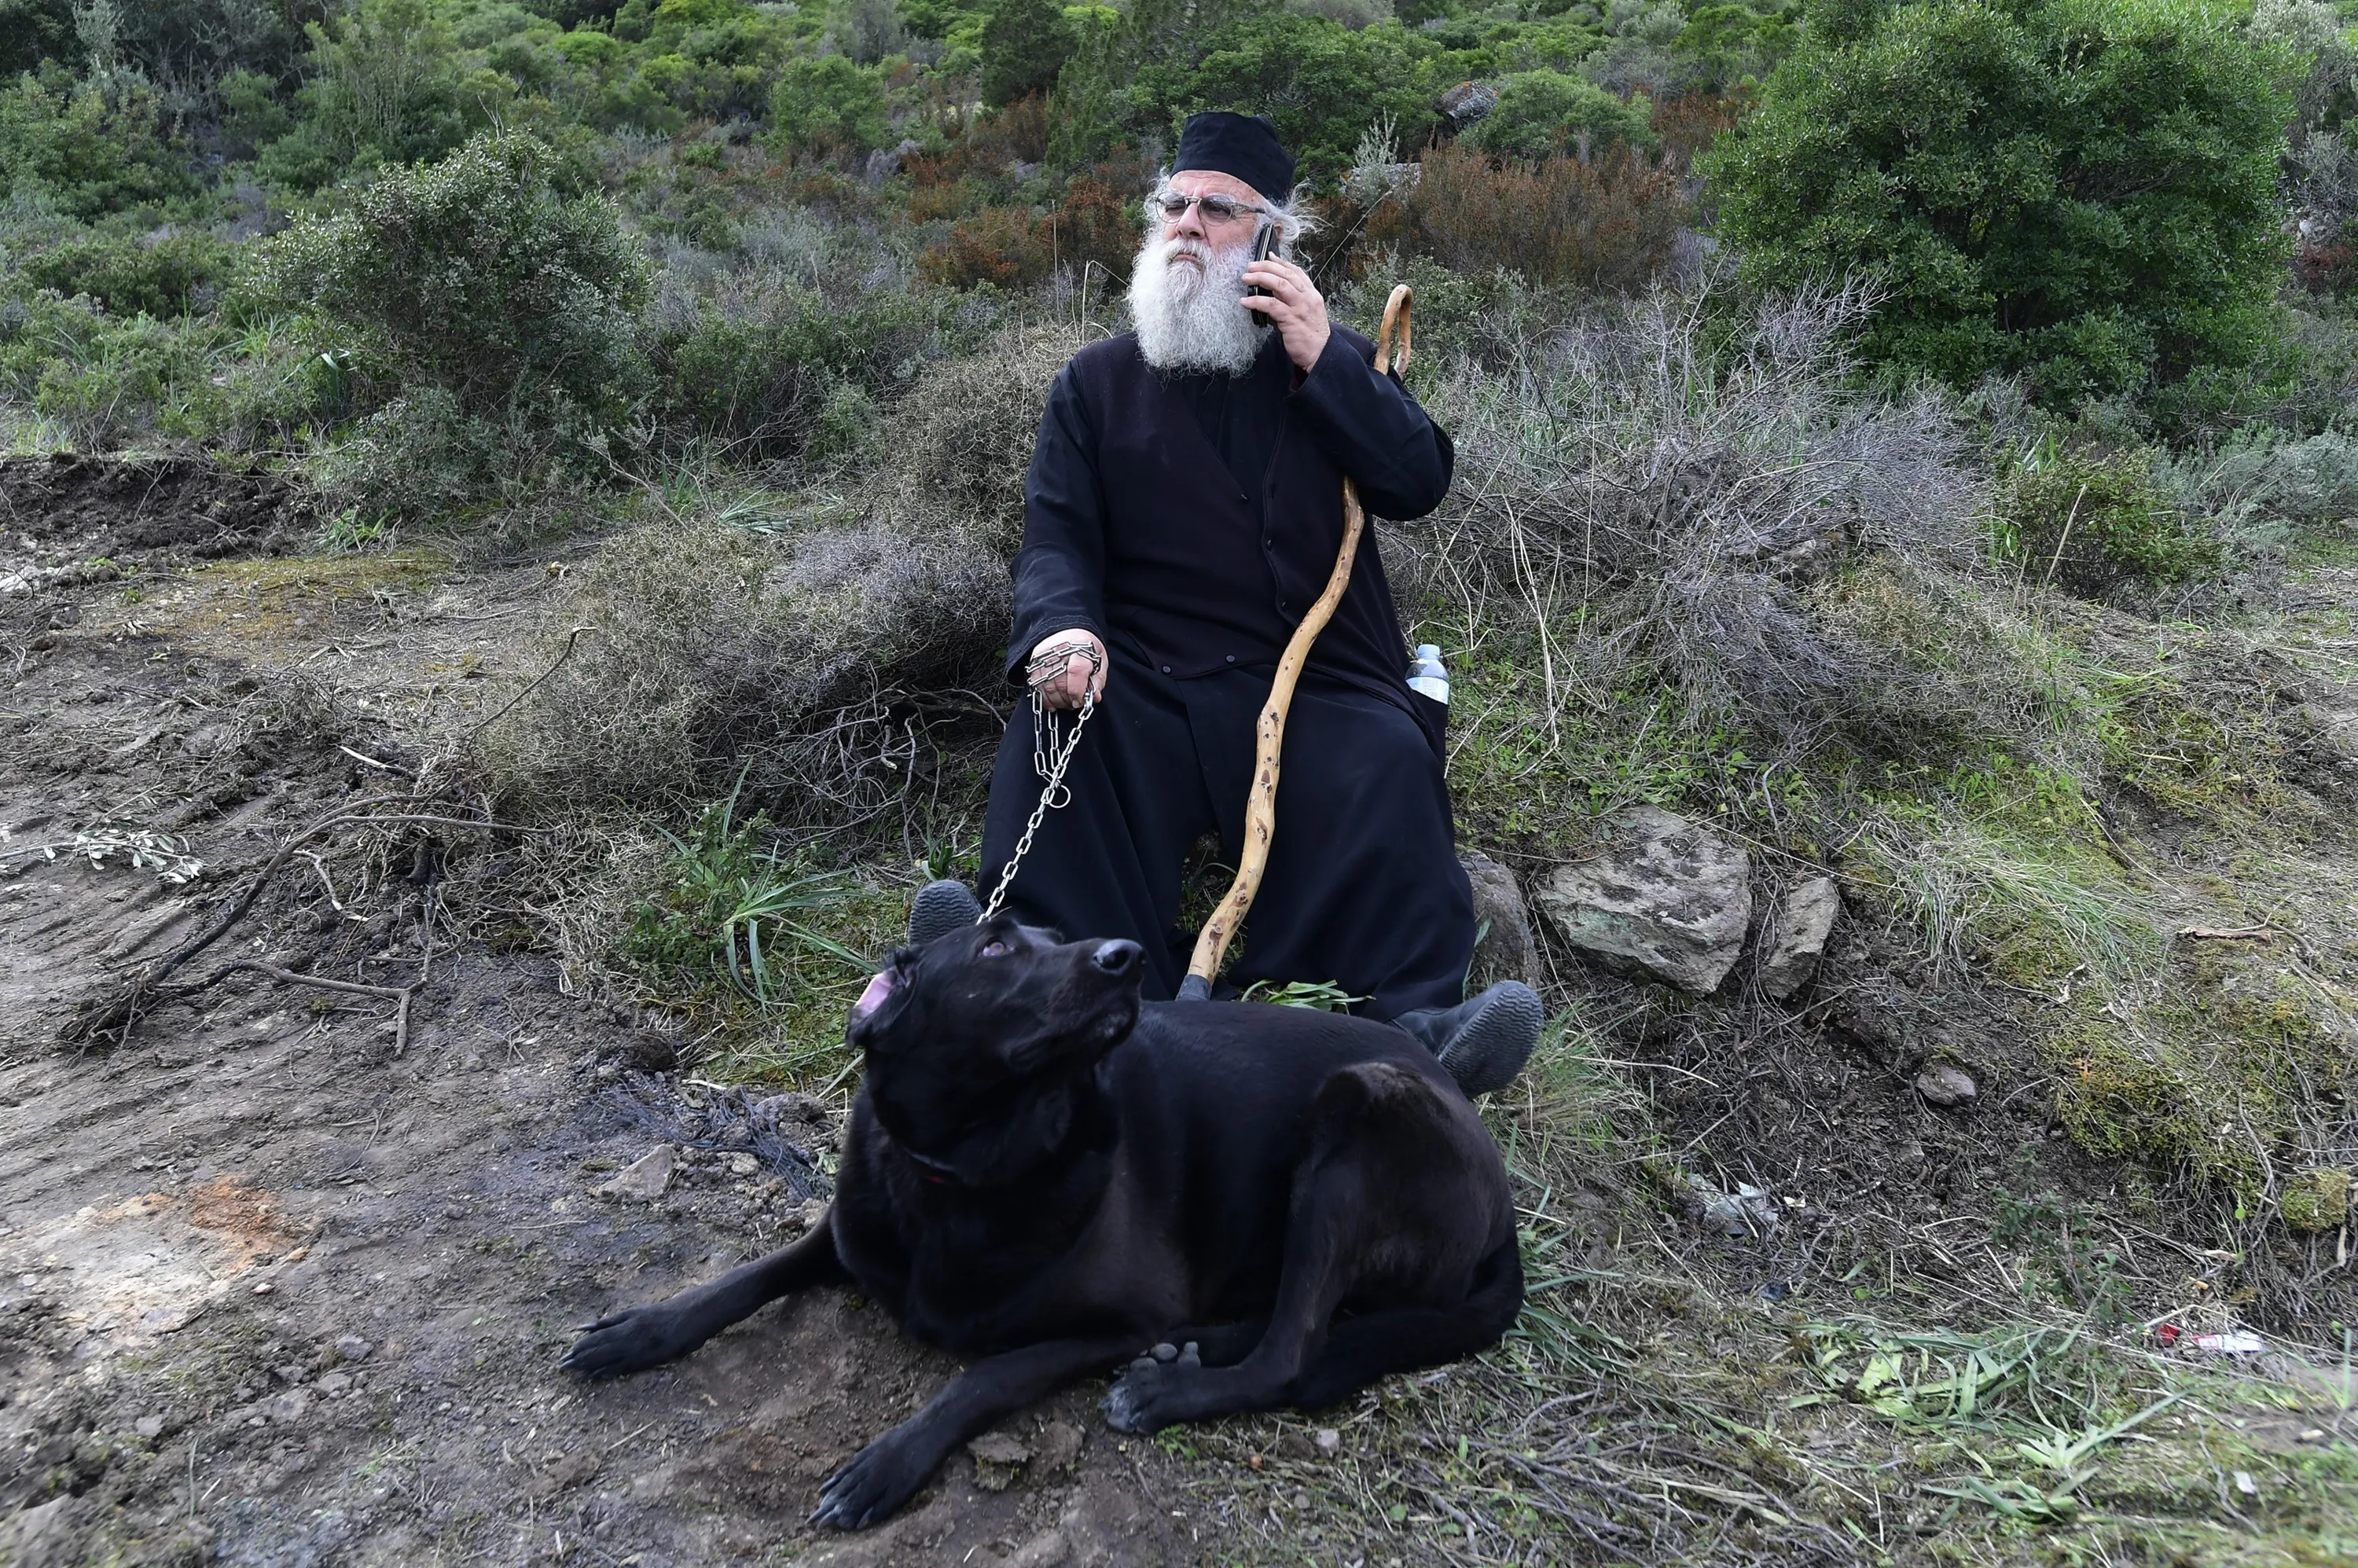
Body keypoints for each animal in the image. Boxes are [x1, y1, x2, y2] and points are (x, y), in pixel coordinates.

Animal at [571, 920, 1528, 1528]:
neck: (969, 1167)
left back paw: (1170, 1384)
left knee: (1293, 1351)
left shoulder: (1118, 1318)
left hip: (1356, 1118)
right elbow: (746, 1276)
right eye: (995, 945)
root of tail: (1504, 1204)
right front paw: (640, 1331)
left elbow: (985, 1377)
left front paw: (886, 1463)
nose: (1128, 956)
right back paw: (1194, 1350)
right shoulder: (847, 1233)